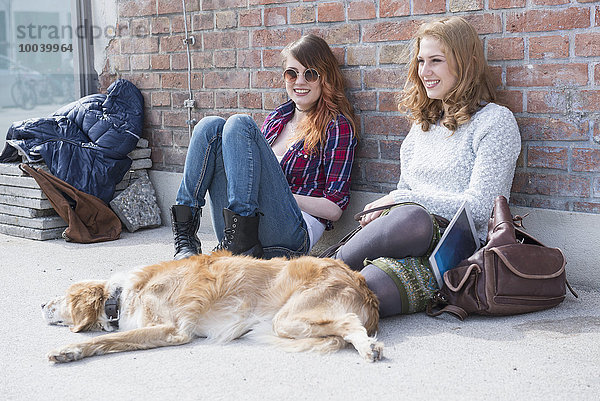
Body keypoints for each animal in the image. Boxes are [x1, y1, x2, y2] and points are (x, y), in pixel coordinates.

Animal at [42, 252, 382, 364]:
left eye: (63, 298)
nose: (41, 303)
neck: (123, 295)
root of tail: (361, 281)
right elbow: (112, 338)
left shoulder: (173, 330)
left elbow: (107, 338)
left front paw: (68, 350)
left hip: (287, 319)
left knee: (350, 323)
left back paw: (369, 348)